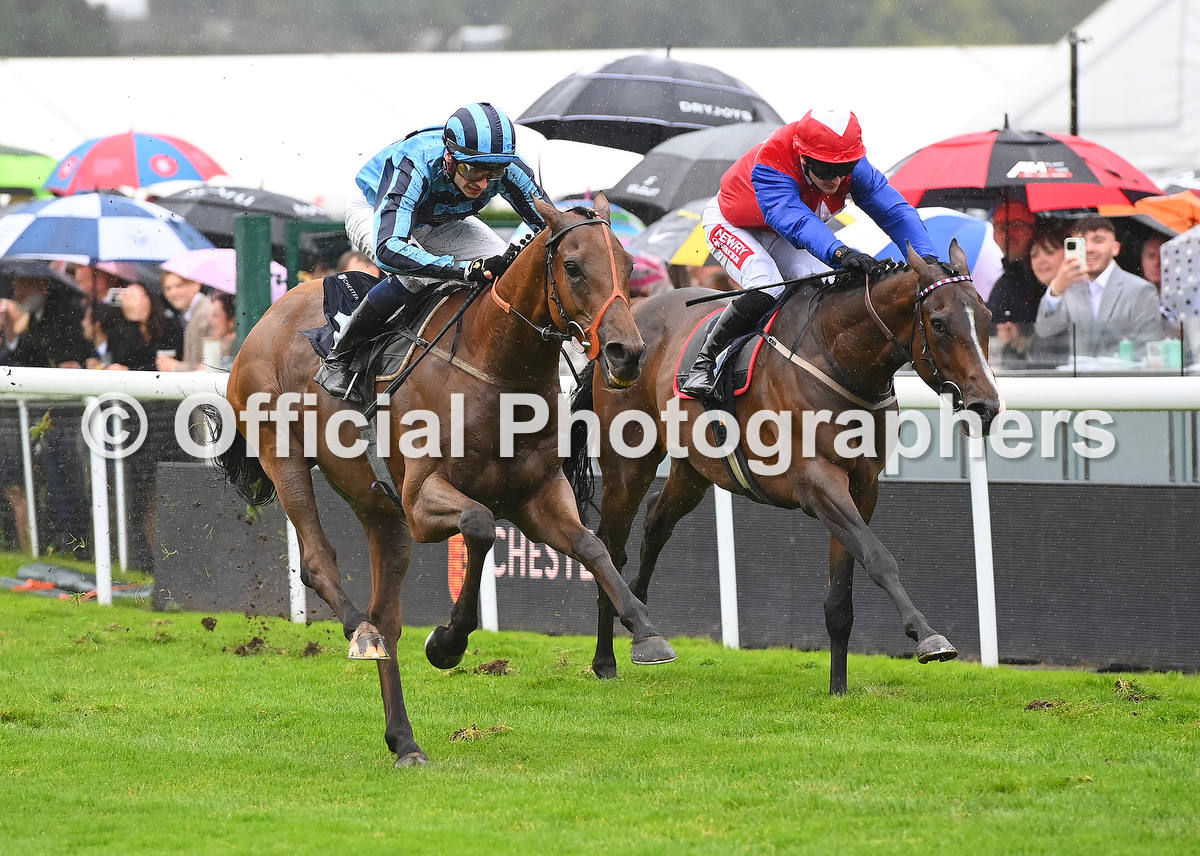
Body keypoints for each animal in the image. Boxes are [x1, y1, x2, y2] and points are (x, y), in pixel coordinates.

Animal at [214, 195, 676, 768]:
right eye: (572, 267)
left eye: (630, 267)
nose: (625, 353)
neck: (498, 369)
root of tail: (264, 319)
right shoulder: (420, 500)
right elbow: (479, 526)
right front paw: (448, 642)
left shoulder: (537, 496)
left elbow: (592, 547)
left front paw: (646, 631)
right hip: (285, 454)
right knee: (321, 566)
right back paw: (360, 633)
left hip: (379, 509)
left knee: (387, 617)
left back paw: (404, 740)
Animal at [566, 242, 998, 696]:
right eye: (939, 323)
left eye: (986, 317)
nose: (986, 405)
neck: (838, 357)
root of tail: (624, 322)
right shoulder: (816, 482)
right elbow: (878, 557)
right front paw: (928, 635)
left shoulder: (862, 486)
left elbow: (842, 594)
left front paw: (838, 688)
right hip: (628, 463)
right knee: (609, 546)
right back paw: (606, 658)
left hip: (695, 469)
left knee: (656, 520)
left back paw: (642, 627)